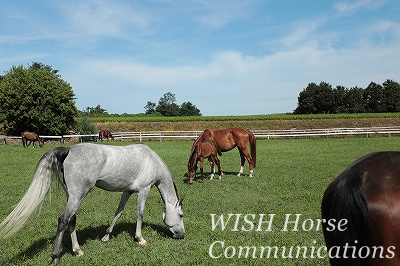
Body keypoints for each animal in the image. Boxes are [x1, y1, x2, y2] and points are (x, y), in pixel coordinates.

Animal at [0, 143, 184, 266]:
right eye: (181, 215)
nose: (181, 235)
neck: (151, 160)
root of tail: (68, 150)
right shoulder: (144, 190)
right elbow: (140, 213)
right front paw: (140, 239)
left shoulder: (127, 191)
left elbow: (119, 212)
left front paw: (106, 236)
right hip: (78, 196)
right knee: (63, 220)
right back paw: (55, 257)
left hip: (72, 196)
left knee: (72, 220)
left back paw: (78, 250)